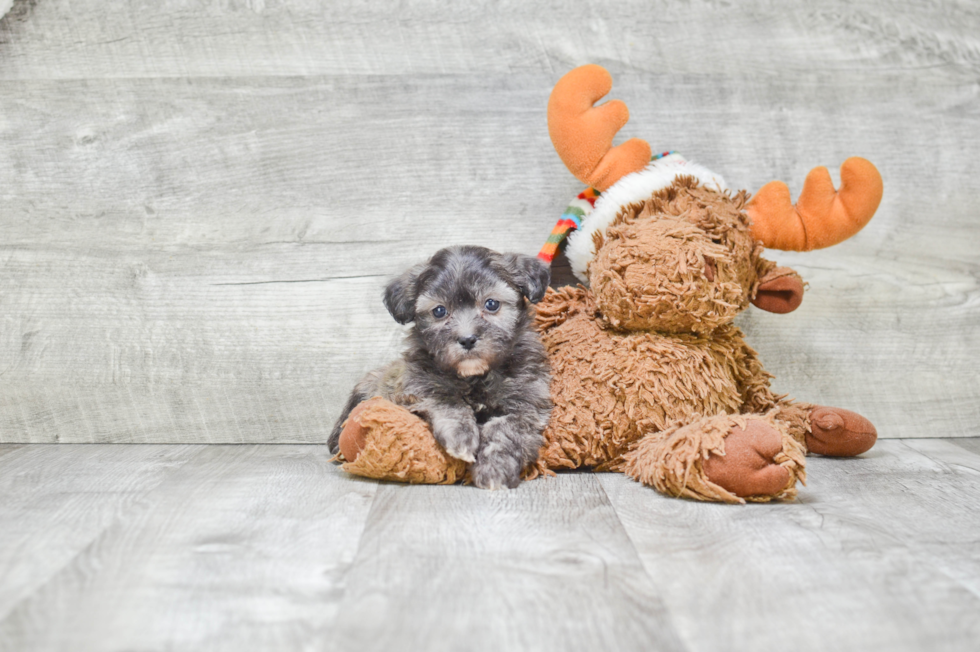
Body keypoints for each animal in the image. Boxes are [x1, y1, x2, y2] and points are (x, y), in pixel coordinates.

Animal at [330, 246, 556, 488]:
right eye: (439, 311)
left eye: (491, 304)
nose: (467, 339)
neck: (474, 377)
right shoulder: (416, 386)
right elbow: (445, 399)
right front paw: (461, 436)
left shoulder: (528, 402)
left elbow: (506, 428)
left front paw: (494, 467)